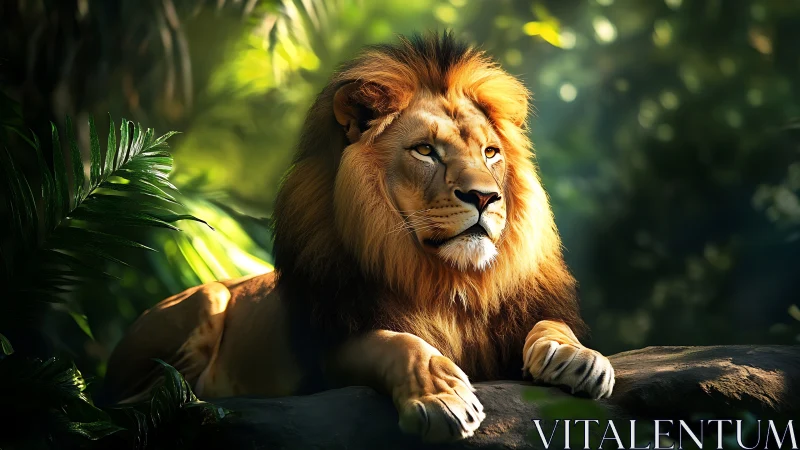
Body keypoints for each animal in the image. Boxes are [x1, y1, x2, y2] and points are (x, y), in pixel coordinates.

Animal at [104, 32, 615, 442]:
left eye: (490, 153)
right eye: (425, 150)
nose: (484, 197)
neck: (449, 282)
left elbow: (552, 324)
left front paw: (577, 357)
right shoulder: (328, 352)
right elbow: (397, 342)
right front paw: (442, 396)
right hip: (205, 300)